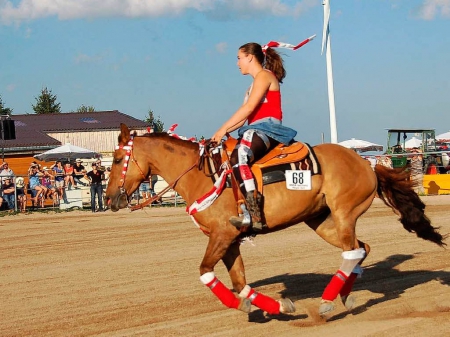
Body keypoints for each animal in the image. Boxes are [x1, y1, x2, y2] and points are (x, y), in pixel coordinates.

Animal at [106, 124, 446, 318]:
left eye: (117, 159)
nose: (110, 200)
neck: (202, 176)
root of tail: (368, 163)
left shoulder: (221, 235)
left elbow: (205, 272)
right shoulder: (230, 241)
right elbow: (240, 283)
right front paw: (277, 306)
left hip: (343, 213)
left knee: (353, 251)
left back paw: (327, 301)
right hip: (321, 221)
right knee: (361, 249)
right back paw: (345, 297)